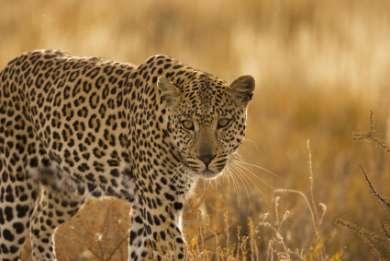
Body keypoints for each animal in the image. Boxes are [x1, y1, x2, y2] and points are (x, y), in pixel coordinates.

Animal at [0, 49, 256, 260]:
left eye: (223, 123)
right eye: (186, 124)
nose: (206, 158)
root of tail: (10, 65)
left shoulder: (147, 206)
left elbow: (139, 249)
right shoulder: (158, 205)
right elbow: (173, 251)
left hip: (68, 188)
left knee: (40, 223)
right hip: (14, 193)